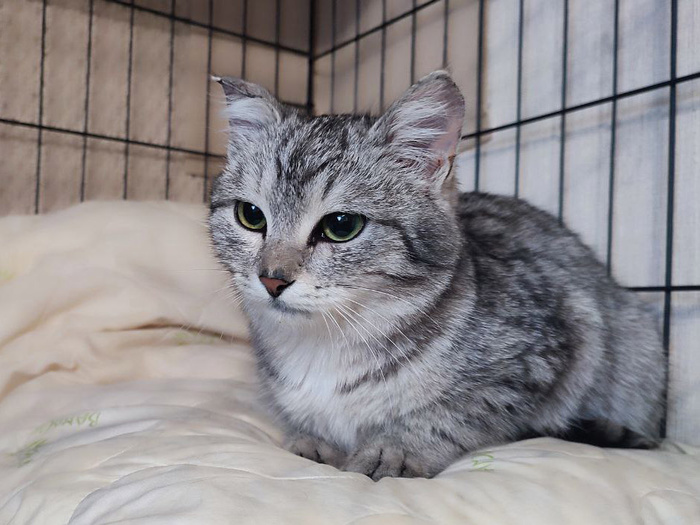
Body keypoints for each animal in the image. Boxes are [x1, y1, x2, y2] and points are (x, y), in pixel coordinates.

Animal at [208, 71, 666, 480]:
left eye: (341, 225)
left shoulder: (548, 348)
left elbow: (452, 414)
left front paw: (396, 449)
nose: (272, 278)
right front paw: (310, 439)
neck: (324, 347)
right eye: (251, 216)